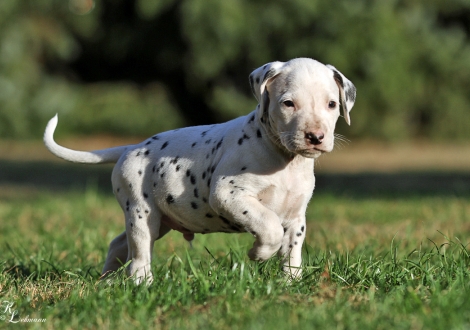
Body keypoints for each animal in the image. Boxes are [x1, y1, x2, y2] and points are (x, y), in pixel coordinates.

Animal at [44, 57, 356, 284]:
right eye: (288, 104)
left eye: (331, 104)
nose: (315, 136)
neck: (283, 157)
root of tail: (131, 148)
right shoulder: (229, 194)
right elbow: (269, 226)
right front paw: (258, 252)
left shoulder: (296, 217)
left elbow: (291, 251)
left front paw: (290, 283)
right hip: (141, 214)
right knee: (139, 255)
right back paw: (143, 283)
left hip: (158, 221)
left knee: (119, 245)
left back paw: (106, 280)